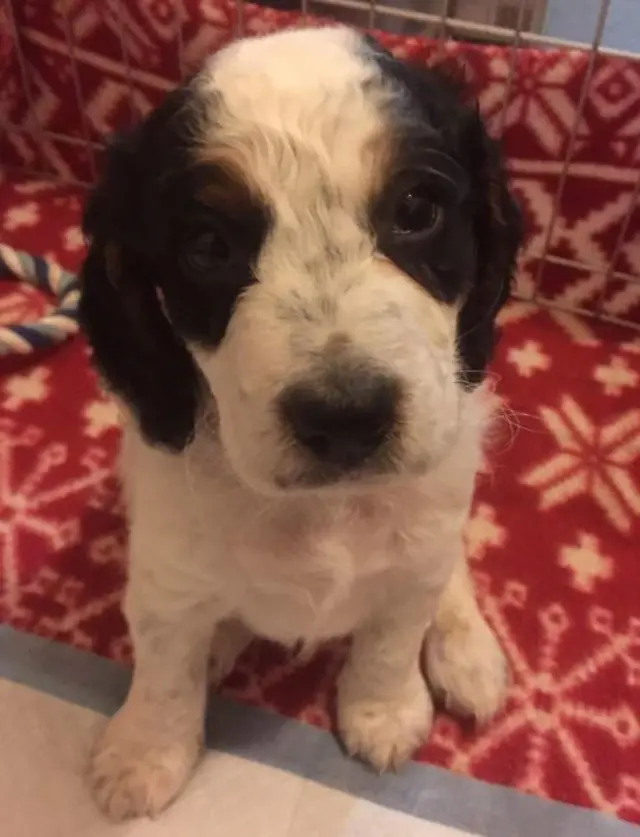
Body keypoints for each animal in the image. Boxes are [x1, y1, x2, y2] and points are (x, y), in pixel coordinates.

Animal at [80, 24, 524, 816]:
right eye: (208, 246)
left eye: (417, 211)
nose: (346, 418)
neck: (325, 510)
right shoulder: (165, 571)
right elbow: (164, 665)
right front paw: (144, 753)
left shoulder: (416, 550)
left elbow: (391, 634)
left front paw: (385, 711)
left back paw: (465, 649)